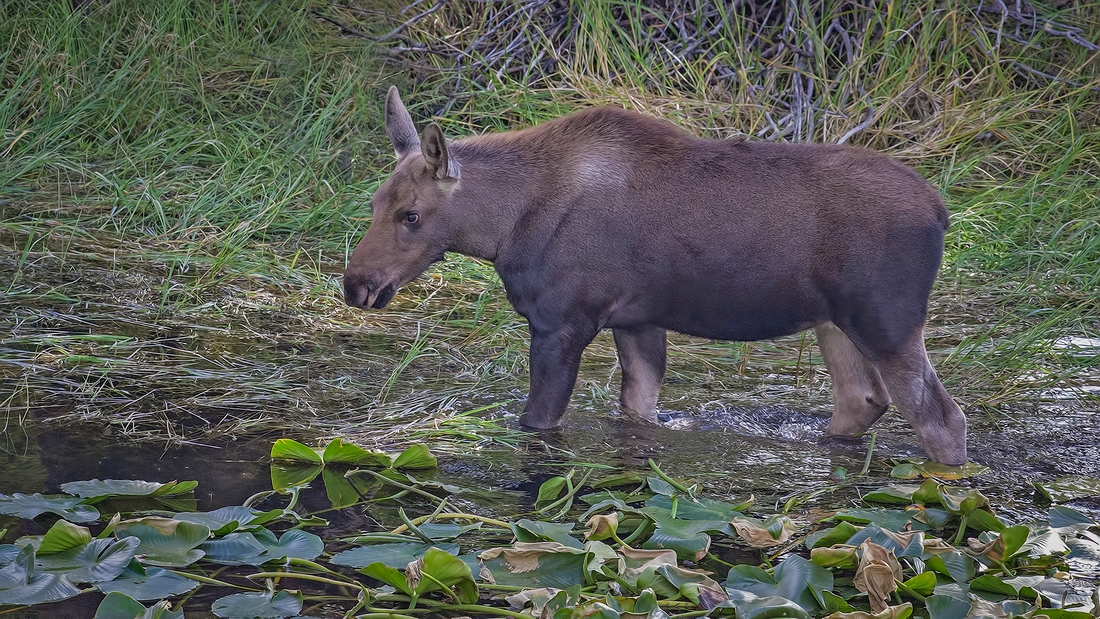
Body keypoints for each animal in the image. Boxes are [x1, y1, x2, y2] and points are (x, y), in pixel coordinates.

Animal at [341, 87, 963, 466]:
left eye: (411, 215)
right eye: (372, 204)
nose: (356, 284)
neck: (501, 230)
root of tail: (941, 211)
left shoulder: (562, 321)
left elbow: (537, 423)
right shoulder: (636, 321)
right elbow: (638, 411)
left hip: (886, 319)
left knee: (940, 418)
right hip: (835, 321)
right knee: (862, 398)